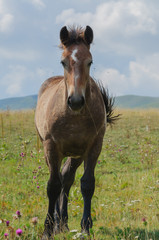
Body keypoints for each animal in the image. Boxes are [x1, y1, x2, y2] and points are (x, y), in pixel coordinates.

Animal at [35, 25, 118, 239]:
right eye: (63, 61)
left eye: (90, 61)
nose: (76, 101)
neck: (74, 116)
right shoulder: (51, 147)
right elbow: (52, 186)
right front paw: (47, 229)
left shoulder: (93, 146)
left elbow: (87, 184)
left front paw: (86, 227)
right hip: (52, 152)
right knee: (58, 179)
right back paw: (57, 224)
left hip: (76, 155)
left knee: (66, 178)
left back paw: (62, 223)